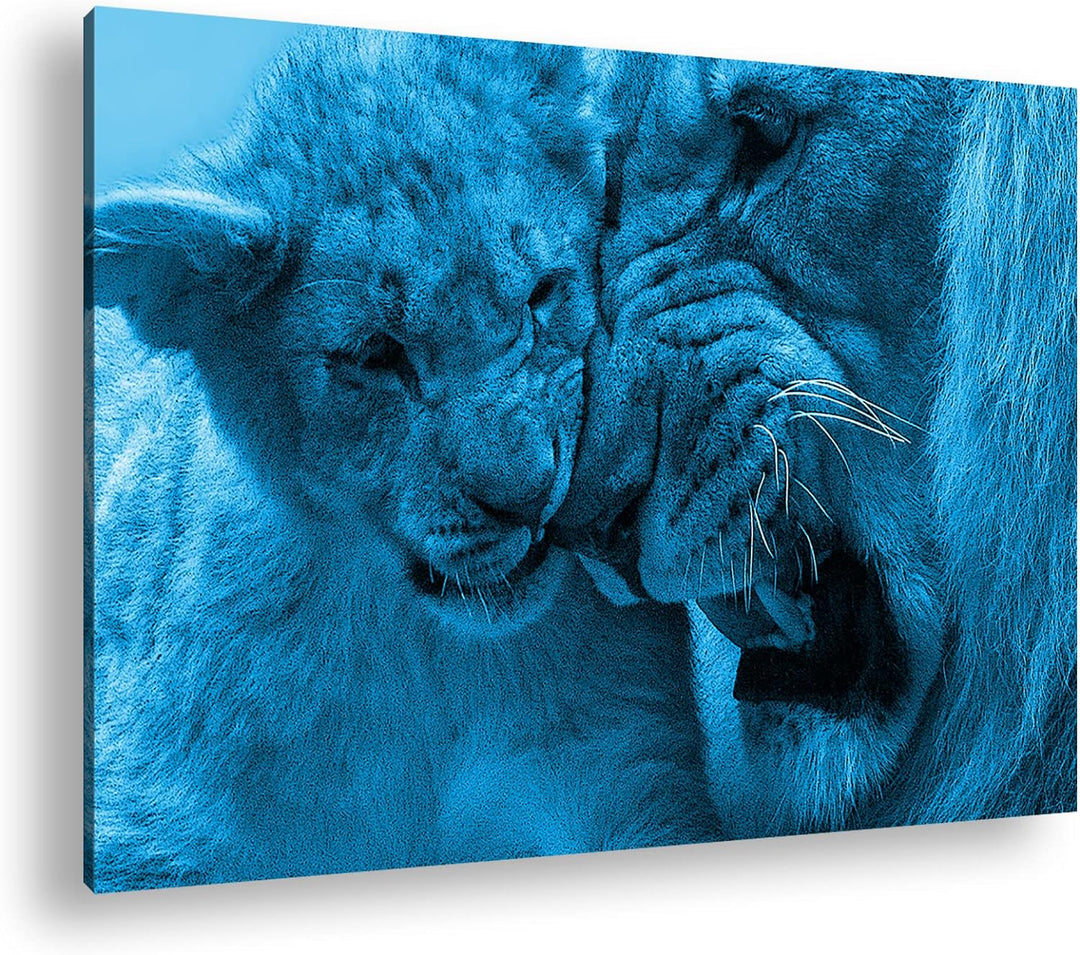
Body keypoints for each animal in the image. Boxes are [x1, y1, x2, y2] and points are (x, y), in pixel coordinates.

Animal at [86, 29, 715, 891]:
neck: (418, 655)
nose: (530, 497)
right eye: (374, 355)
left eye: (543, 294)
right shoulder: (150, 831)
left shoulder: (621, 771)